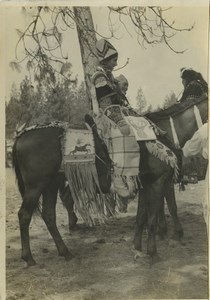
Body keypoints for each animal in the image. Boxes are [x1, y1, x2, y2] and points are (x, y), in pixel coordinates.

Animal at [11, 95, 207, 264]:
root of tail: (20, 136)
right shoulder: (159, 182)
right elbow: (157, 214)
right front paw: (155, 251)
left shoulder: (145, 184)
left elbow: (142, 216)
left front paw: (137, 247)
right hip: (36, 186)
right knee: (24, 215)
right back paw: (29, 257)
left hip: (51, 184)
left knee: (49, 215)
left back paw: (65, 252)